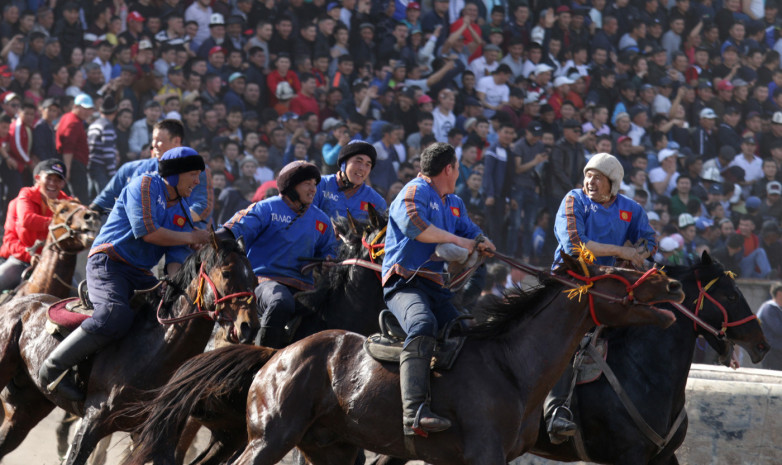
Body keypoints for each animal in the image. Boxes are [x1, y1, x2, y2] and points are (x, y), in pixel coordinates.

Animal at [0, 232, 260, 464]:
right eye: (226, 273)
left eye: (256, 281)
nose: (249, 326)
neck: (152, 351)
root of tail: (17, 304)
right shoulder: (92, 423)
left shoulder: (154, 436)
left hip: (25, 408)